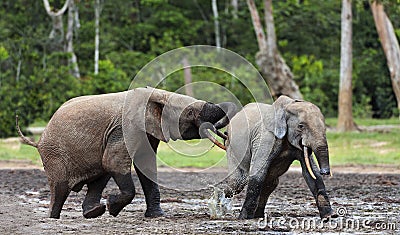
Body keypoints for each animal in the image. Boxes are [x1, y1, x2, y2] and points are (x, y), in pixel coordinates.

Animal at [16, 86, 238, 218]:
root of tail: (38, 140)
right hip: (54, 154)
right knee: (61, 187)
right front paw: (113, 207)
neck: (157, 94)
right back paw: (55, 217)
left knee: (100, 176)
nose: (226, 135)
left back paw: (94, 213)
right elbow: (114, 162)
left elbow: (145, 165)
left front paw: (156, 216)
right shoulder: (124, 128)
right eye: (190, 113)